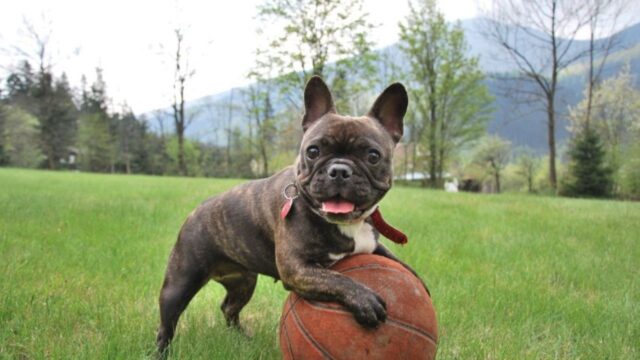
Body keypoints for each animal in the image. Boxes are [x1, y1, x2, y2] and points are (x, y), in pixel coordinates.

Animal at [157, 74, 422, 352]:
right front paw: (365, 299)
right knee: (167, 324)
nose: (339, 170)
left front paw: (418, 282)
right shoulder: (297, 269)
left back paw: (242, 338)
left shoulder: (371, 245)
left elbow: (398, 262)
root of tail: (195, 212)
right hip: (180, 283)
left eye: (372, 156)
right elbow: (336, 279)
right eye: (313, 151)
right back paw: (163, 351)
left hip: (244, 282)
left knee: (229, 308)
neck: (347, 223)